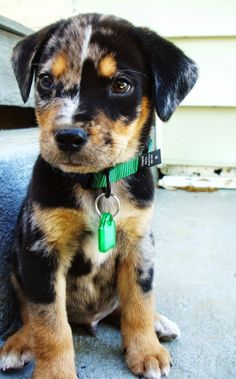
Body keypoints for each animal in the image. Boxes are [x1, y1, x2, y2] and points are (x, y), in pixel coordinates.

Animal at [0, 13, 197, 379]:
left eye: (121, 85)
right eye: (45, 80)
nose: (68, 137)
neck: (97, 184)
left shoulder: (139, 244)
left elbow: (138, 300)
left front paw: (146, 351)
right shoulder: (41, 253)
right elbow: (50, 324)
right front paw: (55, 374)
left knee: (124, 306)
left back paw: (159, 326)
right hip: (17, 263)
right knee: (29, 312)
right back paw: (18, 343)